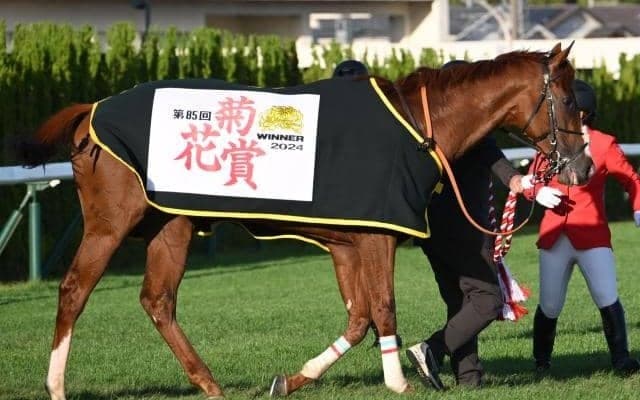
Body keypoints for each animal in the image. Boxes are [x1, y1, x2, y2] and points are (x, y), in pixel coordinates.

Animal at [20, 42, 591, 400]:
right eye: (568, 99)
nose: (581, 166)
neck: (415, 124)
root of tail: (90, 111)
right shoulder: (378, 236)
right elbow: (382, 308)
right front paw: (400, 380)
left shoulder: (346, 242)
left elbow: (359, 318)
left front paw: (293, 379)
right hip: (111, 223)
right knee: (75, 289)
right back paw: (56, 385)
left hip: (173, 225)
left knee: (158, 300)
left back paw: (208, 383)